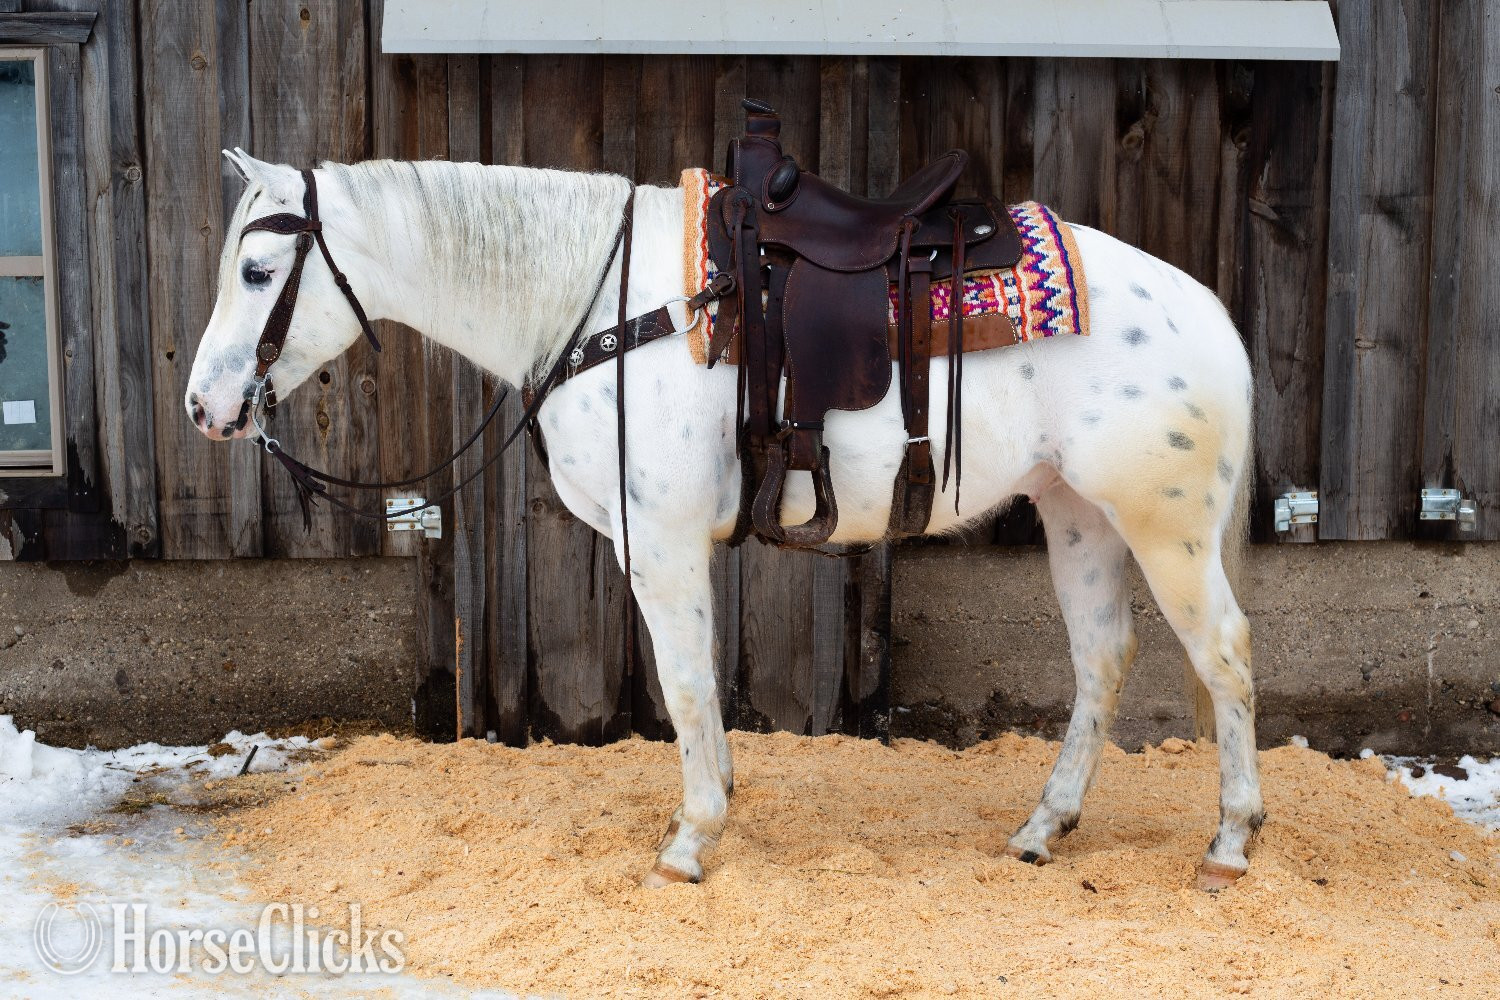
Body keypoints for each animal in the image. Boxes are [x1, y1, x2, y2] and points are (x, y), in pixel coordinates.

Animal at [187, 151, 1263, 892]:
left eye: (256, 271)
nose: (205, 406)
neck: (604, 311)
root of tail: (1208, 308)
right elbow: (699, 679)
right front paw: (721, 801)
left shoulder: (657, 541)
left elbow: (684, 681)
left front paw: (692, 838)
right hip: (1076, 514)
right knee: (1102, 658)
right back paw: (1045, 828)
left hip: (1163, 528)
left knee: (1223, 654)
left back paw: (1229, 843)